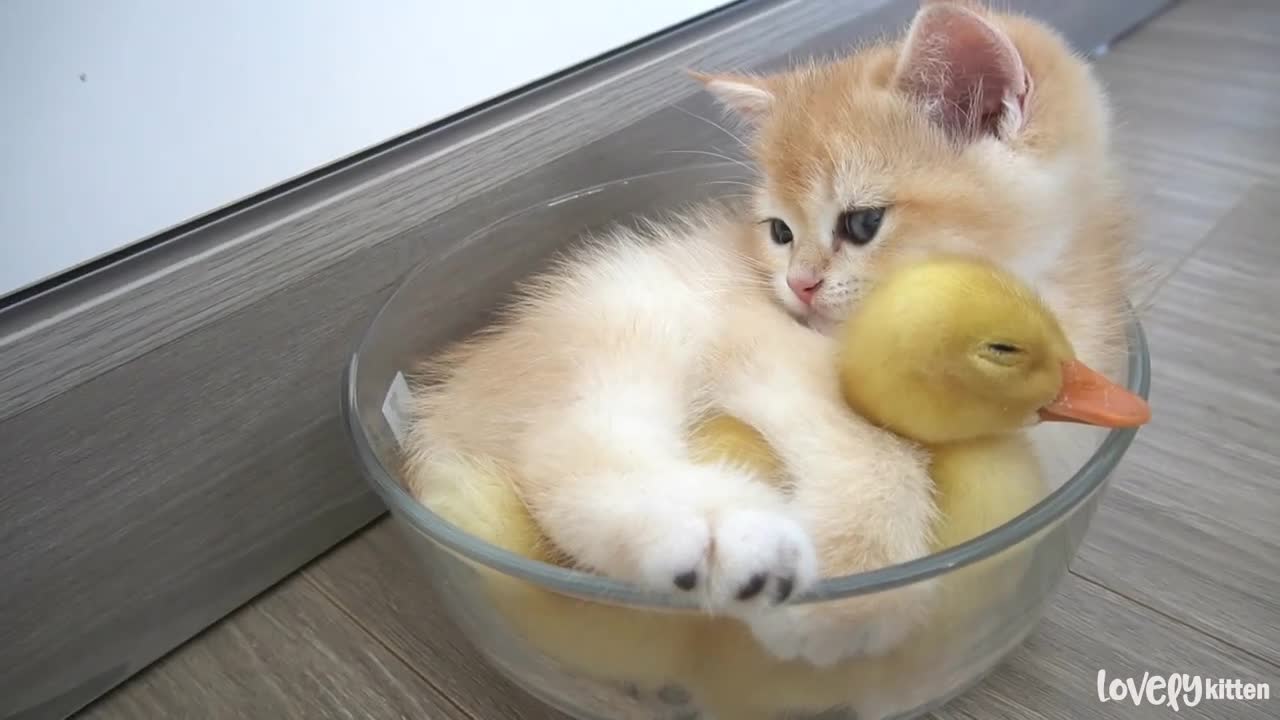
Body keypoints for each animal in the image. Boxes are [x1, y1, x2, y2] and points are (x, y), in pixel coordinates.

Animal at [404, 0, 1136, 666]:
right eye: (781, 231)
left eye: (861, 223)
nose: (799, 284)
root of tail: (445, 401)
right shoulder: (760, 332)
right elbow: (875, 449)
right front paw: (855, 589)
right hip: (628, 319)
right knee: (569, 447)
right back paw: (725, 538)